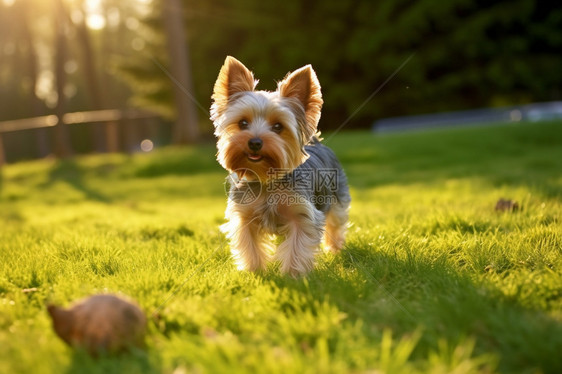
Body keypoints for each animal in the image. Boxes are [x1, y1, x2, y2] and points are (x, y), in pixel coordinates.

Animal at [210, 56, 350, 278]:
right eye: (242, 123)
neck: (265, 179)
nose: (255, 142)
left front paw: (293, 275)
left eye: (278, 126)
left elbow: (297, 244)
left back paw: (335, 249)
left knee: (336, 222)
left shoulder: (302, 214)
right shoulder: (243, 214)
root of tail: (316, 142)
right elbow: (249, 244)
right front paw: (255, 271)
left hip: (337, 196)